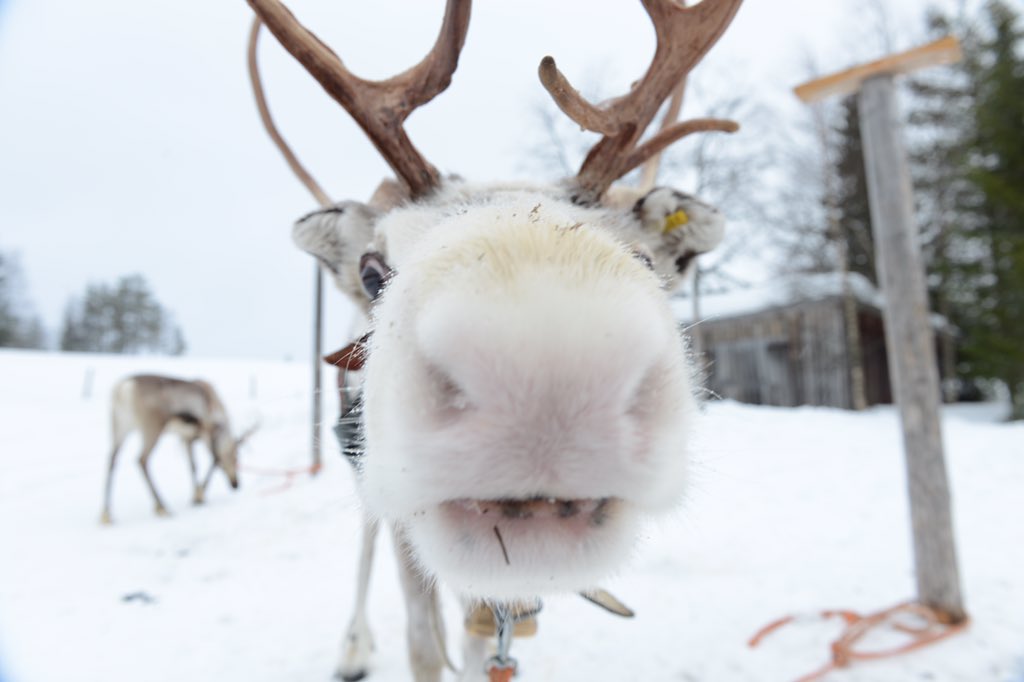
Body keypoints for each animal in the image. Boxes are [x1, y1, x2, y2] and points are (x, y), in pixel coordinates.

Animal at [100, 374, 255, 524]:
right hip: (152, 427)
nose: (236, 484)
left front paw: (197, 496)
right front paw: (200, 496)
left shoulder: (186, 437)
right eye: (235, 458)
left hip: (121, 425)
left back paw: (106, 514)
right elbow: (212, 459)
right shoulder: (205, 431)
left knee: (112, 459)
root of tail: (124, 388)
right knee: (142, 459)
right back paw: (162, 507)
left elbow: (192, 465)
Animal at [246, 0, 743, 679]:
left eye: (647, 260)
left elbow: (479, 645)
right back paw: (352, 647)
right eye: (373, 271)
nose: (544, 376)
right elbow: (423, 644)